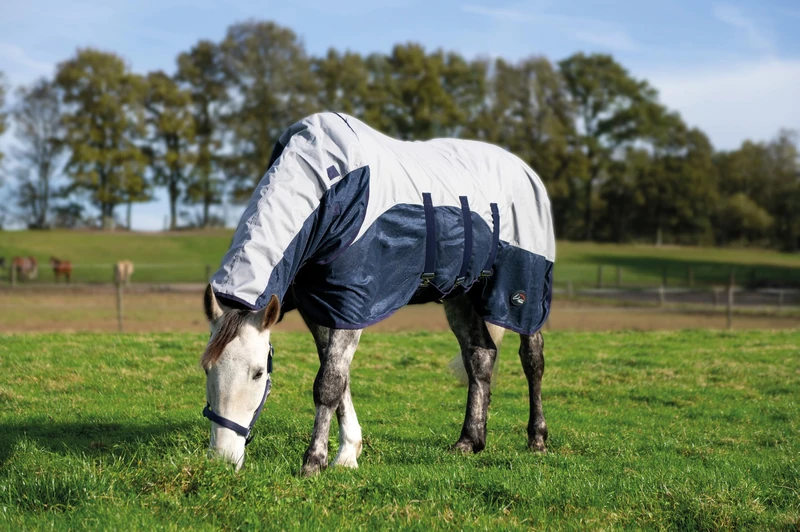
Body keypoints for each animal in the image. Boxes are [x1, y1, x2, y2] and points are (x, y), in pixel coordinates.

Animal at [200, 113, 554, 473]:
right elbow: (339, 379)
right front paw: (347, 454)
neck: (336, 192)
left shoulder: (352, 306)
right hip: (460, 297)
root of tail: (524, 170)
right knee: (480, 356)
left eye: (258, 373)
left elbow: (329, 384)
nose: (223, 459)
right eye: (207, 368)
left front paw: (314, 461)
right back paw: (470, 441)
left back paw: (537, 440)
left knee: (532, 359)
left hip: (523, 290)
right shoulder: (323, 309)